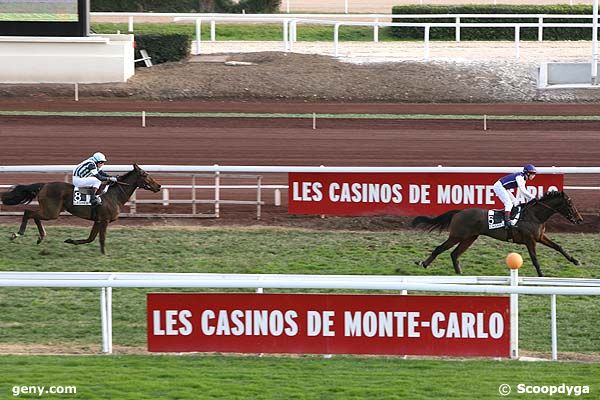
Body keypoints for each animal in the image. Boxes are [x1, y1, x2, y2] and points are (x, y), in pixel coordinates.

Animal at [0, 164, 161, 255]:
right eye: (145, 175)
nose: (159, 186)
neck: (114, 195)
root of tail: (44, 185)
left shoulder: (97, 220)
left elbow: (91, 238)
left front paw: (71, 241)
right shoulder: (104, 220)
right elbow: (101, 238)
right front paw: (104, 254)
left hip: (50, 211)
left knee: (34, 215)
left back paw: (41, 236)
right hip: (51, 212)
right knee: (29, 213)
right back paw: (18, 233)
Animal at [412, 190, 580, 276]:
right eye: (570, 204)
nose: (579, 219)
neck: (534, 215)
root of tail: (459, 212)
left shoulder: (539, 237)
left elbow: (558, 247)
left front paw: (575, 261)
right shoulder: (530, 240)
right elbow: (534, 259)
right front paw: (541, 275)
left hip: (470, 238)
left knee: (454, 253)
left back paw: (459, 273)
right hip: (457, 236)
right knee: (440, 248)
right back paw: (424, 263)